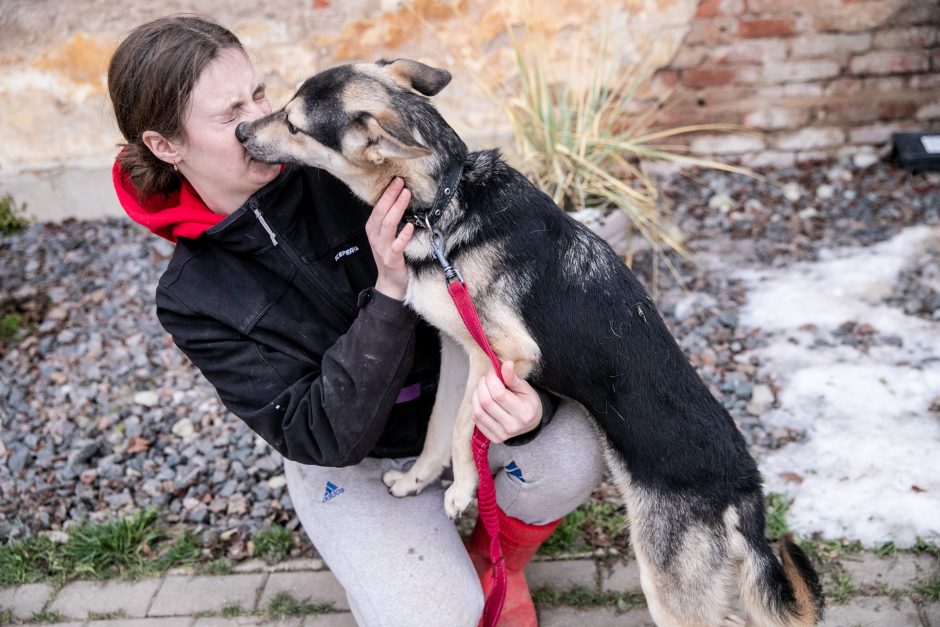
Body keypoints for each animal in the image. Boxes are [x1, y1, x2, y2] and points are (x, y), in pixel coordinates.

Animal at [235, 59, 824, 627]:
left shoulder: (501, 357)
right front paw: (419, 480)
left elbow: (461, 430)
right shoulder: (456, 352)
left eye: (293, 124)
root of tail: (746, 493)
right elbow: (437, 426)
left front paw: (459, 491)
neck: (444, 204)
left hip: (672, 589)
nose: (240, 130)